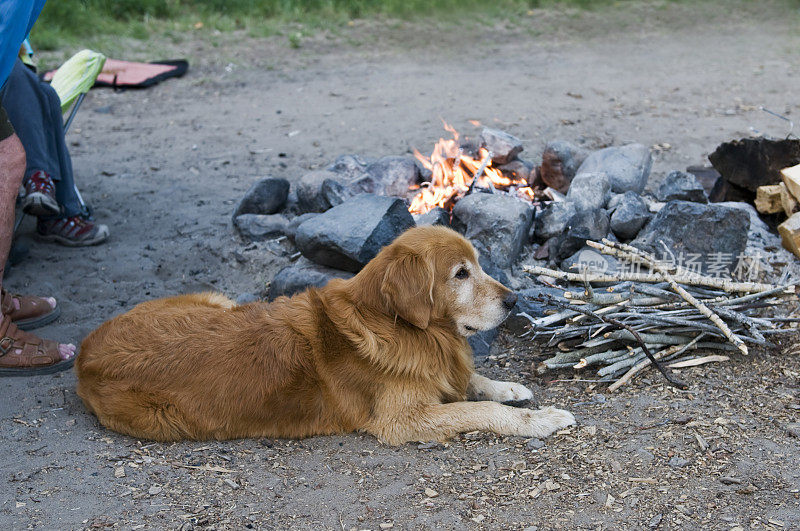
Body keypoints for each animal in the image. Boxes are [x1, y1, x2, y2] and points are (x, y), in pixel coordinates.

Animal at [76, 225, 576, 444]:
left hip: (218, 299)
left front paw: (508, 386)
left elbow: (472, 381)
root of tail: (84, 352)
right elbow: (483, 409)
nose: (513, 300)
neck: (400, 327)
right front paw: (541, 419)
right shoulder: (402, 420)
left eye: (478, 264)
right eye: (461, 273)